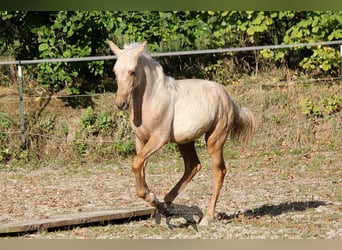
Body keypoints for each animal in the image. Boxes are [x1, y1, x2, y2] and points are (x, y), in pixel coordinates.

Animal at [108, 41, 255, 227]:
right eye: (115, 71)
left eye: (132, 71)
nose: (121, 104)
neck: (151, 99)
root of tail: (229, 99)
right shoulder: (140, 140)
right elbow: (140, 167)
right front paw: (152, 199)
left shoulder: (158, 139)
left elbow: (136, 164)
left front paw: (150, 197)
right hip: (185, 141)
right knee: (193, 166)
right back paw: (165, 205)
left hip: (215, 139)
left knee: (219, 171)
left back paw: (207, 217)